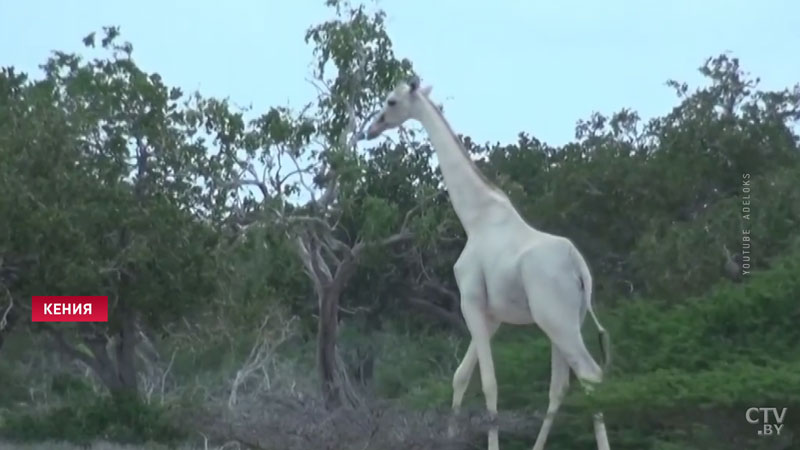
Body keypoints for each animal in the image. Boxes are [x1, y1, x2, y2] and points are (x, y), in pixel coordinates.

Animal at [368, 77, 612, 450]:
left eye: (391, 101)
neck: (475, 218)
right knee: (560, 387)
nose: (371, 128)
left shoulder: (470, 300)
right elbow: (460, 376)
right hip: (568, 320)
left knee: (590, 375)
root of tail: (579, 268)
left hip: (555, 319)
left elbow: (488, 384)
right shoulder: (492, 314)